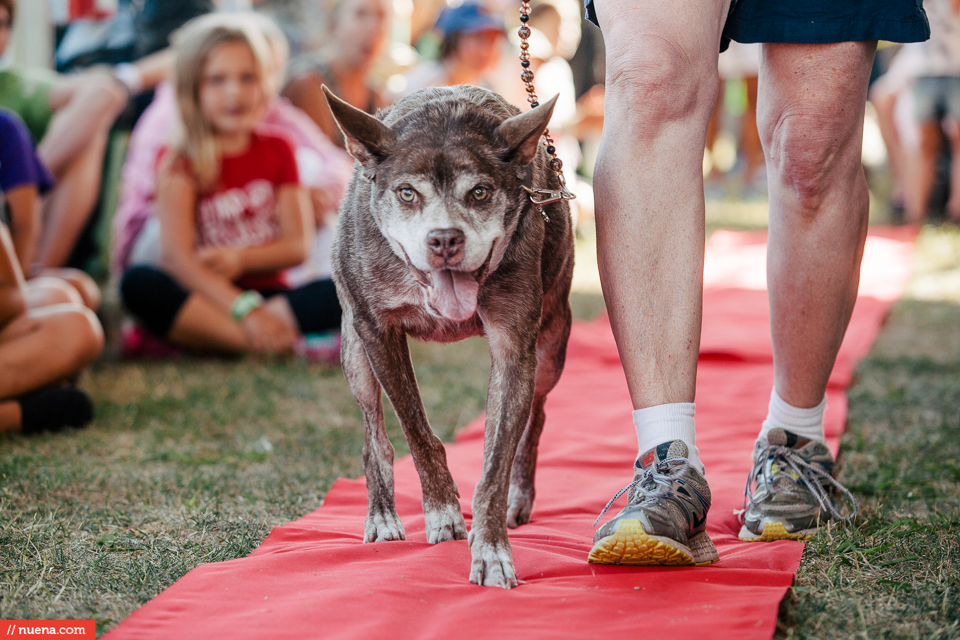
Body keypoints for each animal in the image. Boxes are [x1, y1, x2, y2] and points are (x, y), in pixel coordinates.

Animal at [326, 86, 572, 592]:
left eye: (479, 192)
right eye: (406, 192)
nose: (444, 239)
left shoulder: (513, 344)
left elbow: (496, 460)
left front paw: (491, 549)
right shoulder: (376, 329)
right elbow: (415, 429)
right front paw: (442, 513)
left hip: (553, 340)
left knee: (534, 416)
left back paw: (520, 494)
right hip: (353, 345)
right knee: (373, 432)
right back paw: (382, 515)